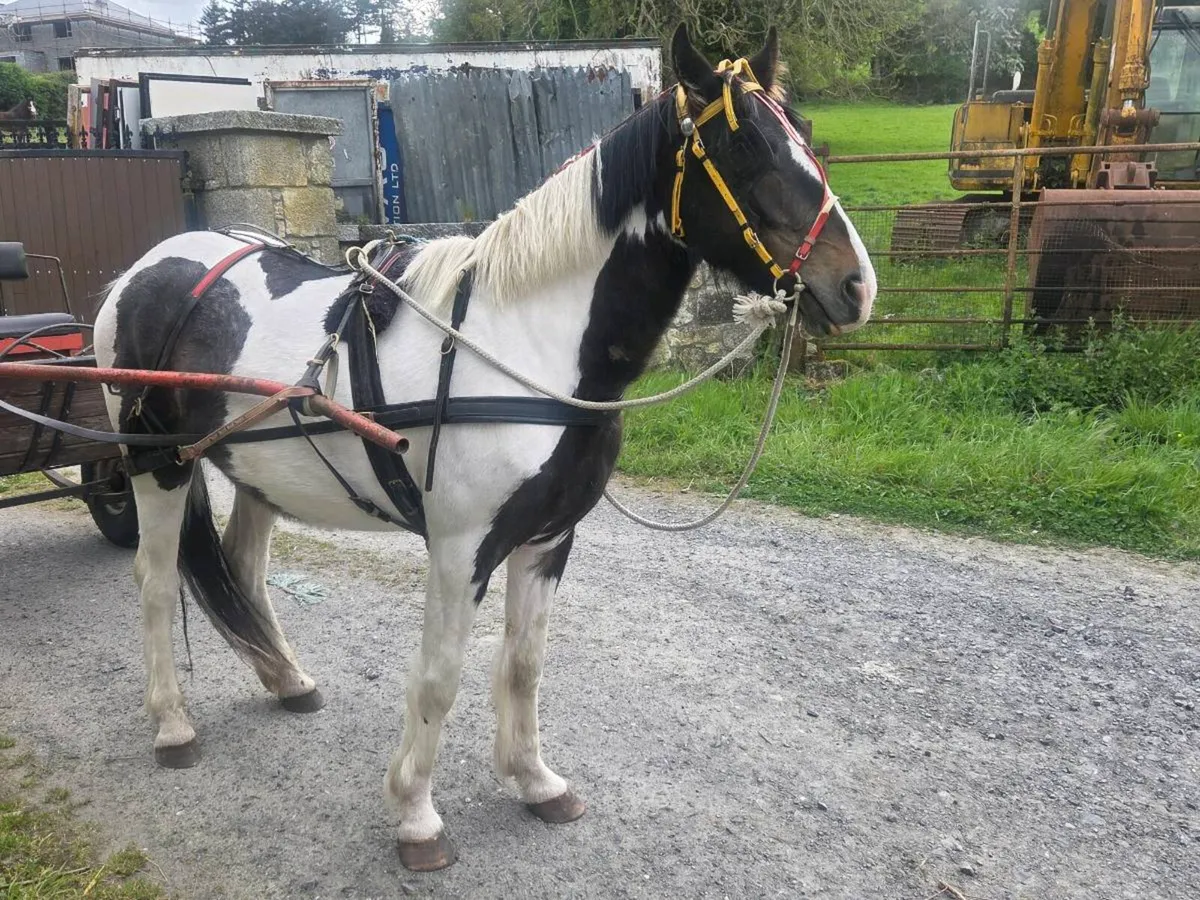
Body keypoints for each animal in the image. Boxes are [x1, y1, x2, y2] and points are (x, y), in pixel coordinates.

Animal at [92, 24, 876, 870]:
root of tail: (146, 268)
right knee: (155, 581)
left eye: (805, 139)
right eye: (744, 148)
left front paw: (535, 781)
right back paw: (173, 724)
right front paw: (416, 815)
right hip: (157, 466)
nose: (857, 287)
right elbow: (440, 676)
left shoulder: (549, 538)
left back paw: (287, 678)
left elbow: (525, 665)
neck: (523, 341)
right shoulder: (461, 545)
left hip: (259, 471)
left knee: (241, 569)